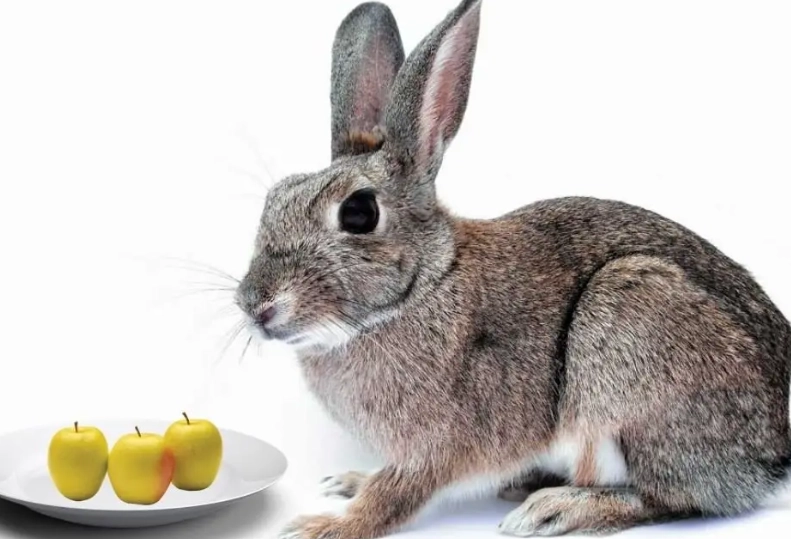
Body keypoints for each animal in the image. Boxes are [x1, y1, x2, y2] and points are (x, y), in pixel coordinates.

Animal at [234, 0, 791, 537]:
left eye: (358, 213)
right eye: (274, 198)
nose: (255, 306)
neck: (423, 289)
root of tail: (776, 456)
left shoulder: (437, 444)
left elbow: (395, 495)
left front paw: (324, 526)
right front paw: (348, 481)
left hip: (632, 331)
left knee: (671, 498)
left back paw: (555, 509)